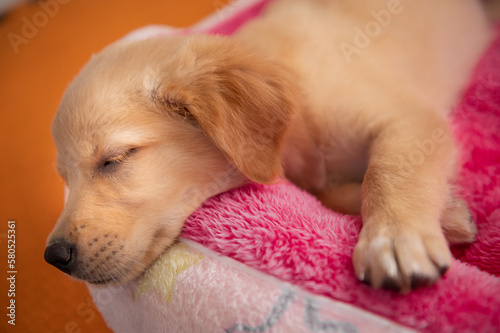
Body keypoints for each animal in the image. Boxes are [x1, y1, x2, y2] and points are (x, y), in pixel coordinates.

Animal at [45, 0, 490, 290]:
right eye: (64, 177)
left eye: (115, 158)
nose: (55, 258)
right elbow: (330, 192)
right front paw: (450, 215)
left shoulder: (412, 119)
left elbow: (386, 170)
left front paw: (397, 239)